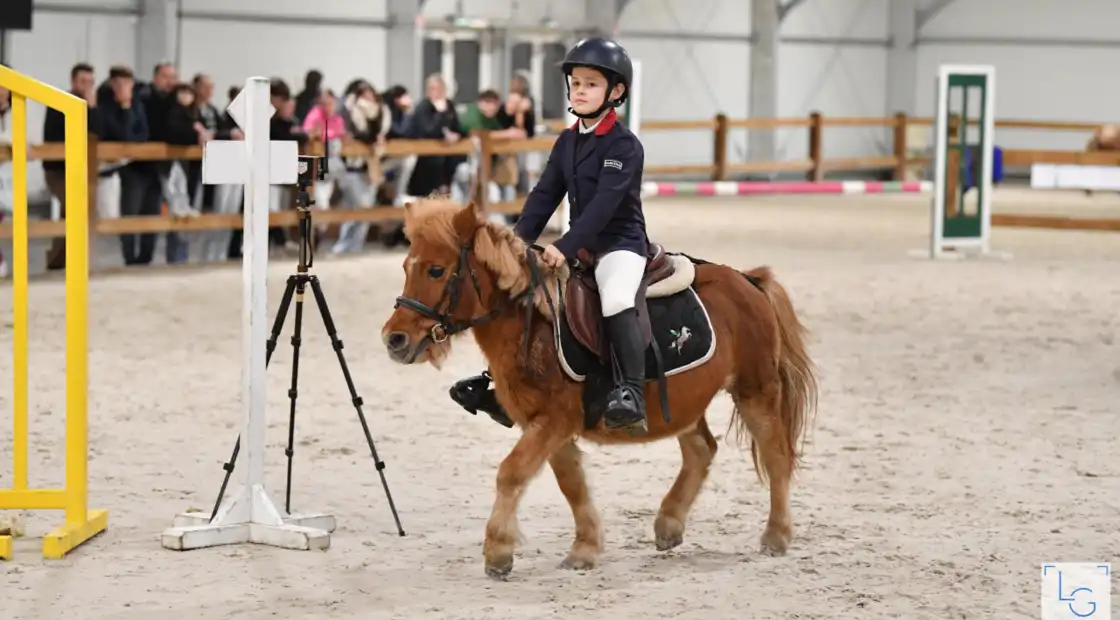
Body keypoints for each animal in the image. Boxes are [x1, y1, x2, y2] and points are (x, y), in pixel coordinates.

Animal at [381, 198, 818, 579]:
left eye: (436, 271)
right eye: (405, 266)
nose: (394, 339)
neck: (533, 323)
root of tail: (748, 279)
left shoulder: (553, 421)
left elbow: (511, 473)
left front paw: (498, 552)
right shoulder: (547, 426)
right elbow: (571, 483)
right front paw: (585, 548)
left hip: (754, 390)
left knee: (775, 454)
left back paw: (776, 536)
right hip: (685, 399)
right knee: (700, 450)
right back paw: (669, 524)